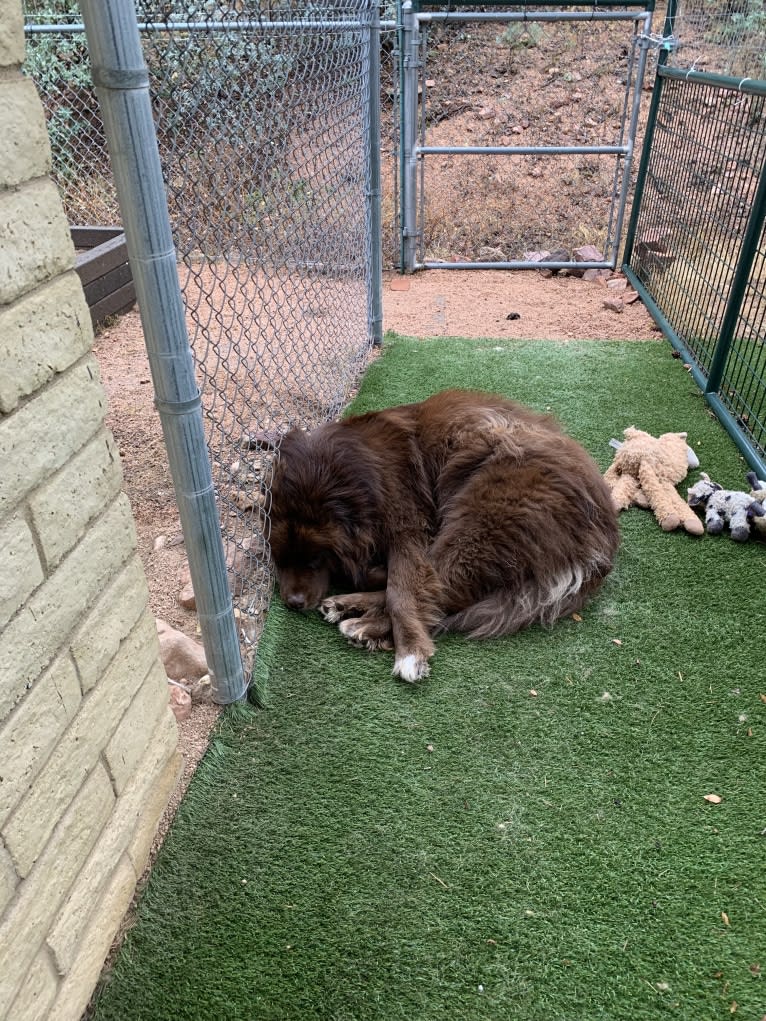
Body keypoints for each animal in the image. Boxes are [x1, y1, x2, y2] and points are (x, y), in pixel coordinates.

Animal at [267, 385, 620, 682]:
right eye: (279, 560)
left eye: (315, 560)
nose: (293, 604)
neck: (339, 479)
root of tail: (604, 529)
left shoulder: (408, 528)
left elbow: (401, 592)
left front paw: (410, 650)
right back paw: (345, 606)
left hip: (472, 525)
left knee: (440, 589)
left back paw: (363, 624)